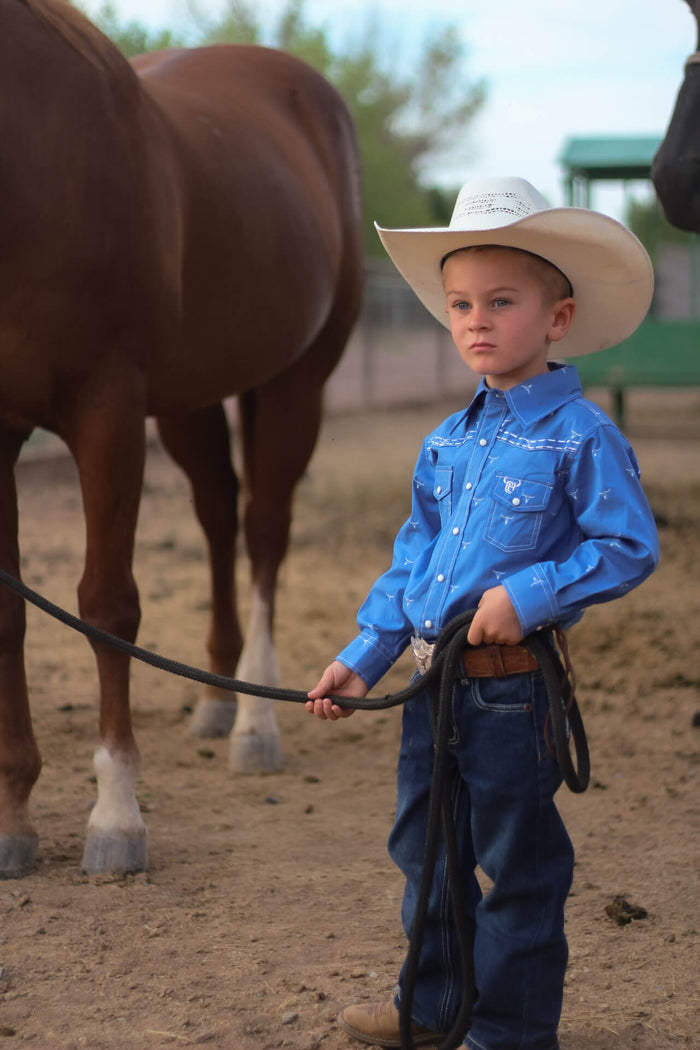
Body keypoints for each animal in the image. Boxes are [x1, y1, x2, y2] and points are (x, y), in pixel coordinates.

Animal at [0, 0, 363, 878]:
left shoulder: (108, 409)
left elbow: (106, 604)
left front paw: (116, 816)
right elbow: (8, 616)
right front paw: (13, 816)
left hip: (298, 382)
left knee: (264, 528)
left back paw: (254, 727)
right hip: (192, 402)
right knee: (219, 515)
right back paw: (216, 699)